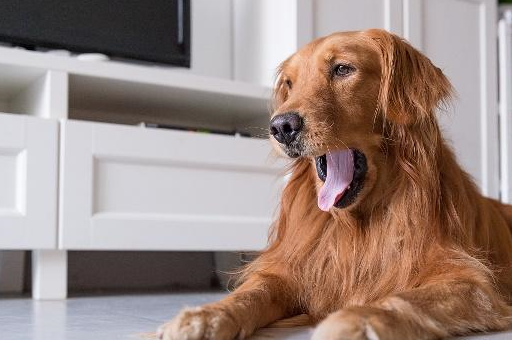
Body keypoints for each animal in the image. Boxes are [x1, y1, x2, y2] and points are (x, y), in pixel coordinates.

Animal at [156, 29, 512, 340]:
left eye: (342, 69)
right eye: (289, 84)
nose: (281, 127)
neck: (355, 227)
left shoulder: (470, 281)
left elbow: (404, 299)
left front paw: (355, 320)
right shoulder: (290, 271)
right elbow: (250, 292)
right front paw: (204, 315)